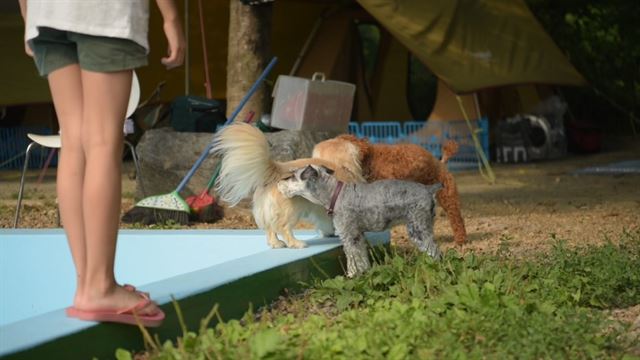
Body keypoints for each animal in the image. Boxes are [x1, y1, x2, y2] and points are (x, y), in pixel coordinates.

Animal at [212, 122, 362, 249]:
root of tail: (278, 168)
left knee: (270, 229)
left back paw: (276, 244)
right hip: (291, 211)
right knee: (284, 228)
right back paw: (296, 244)